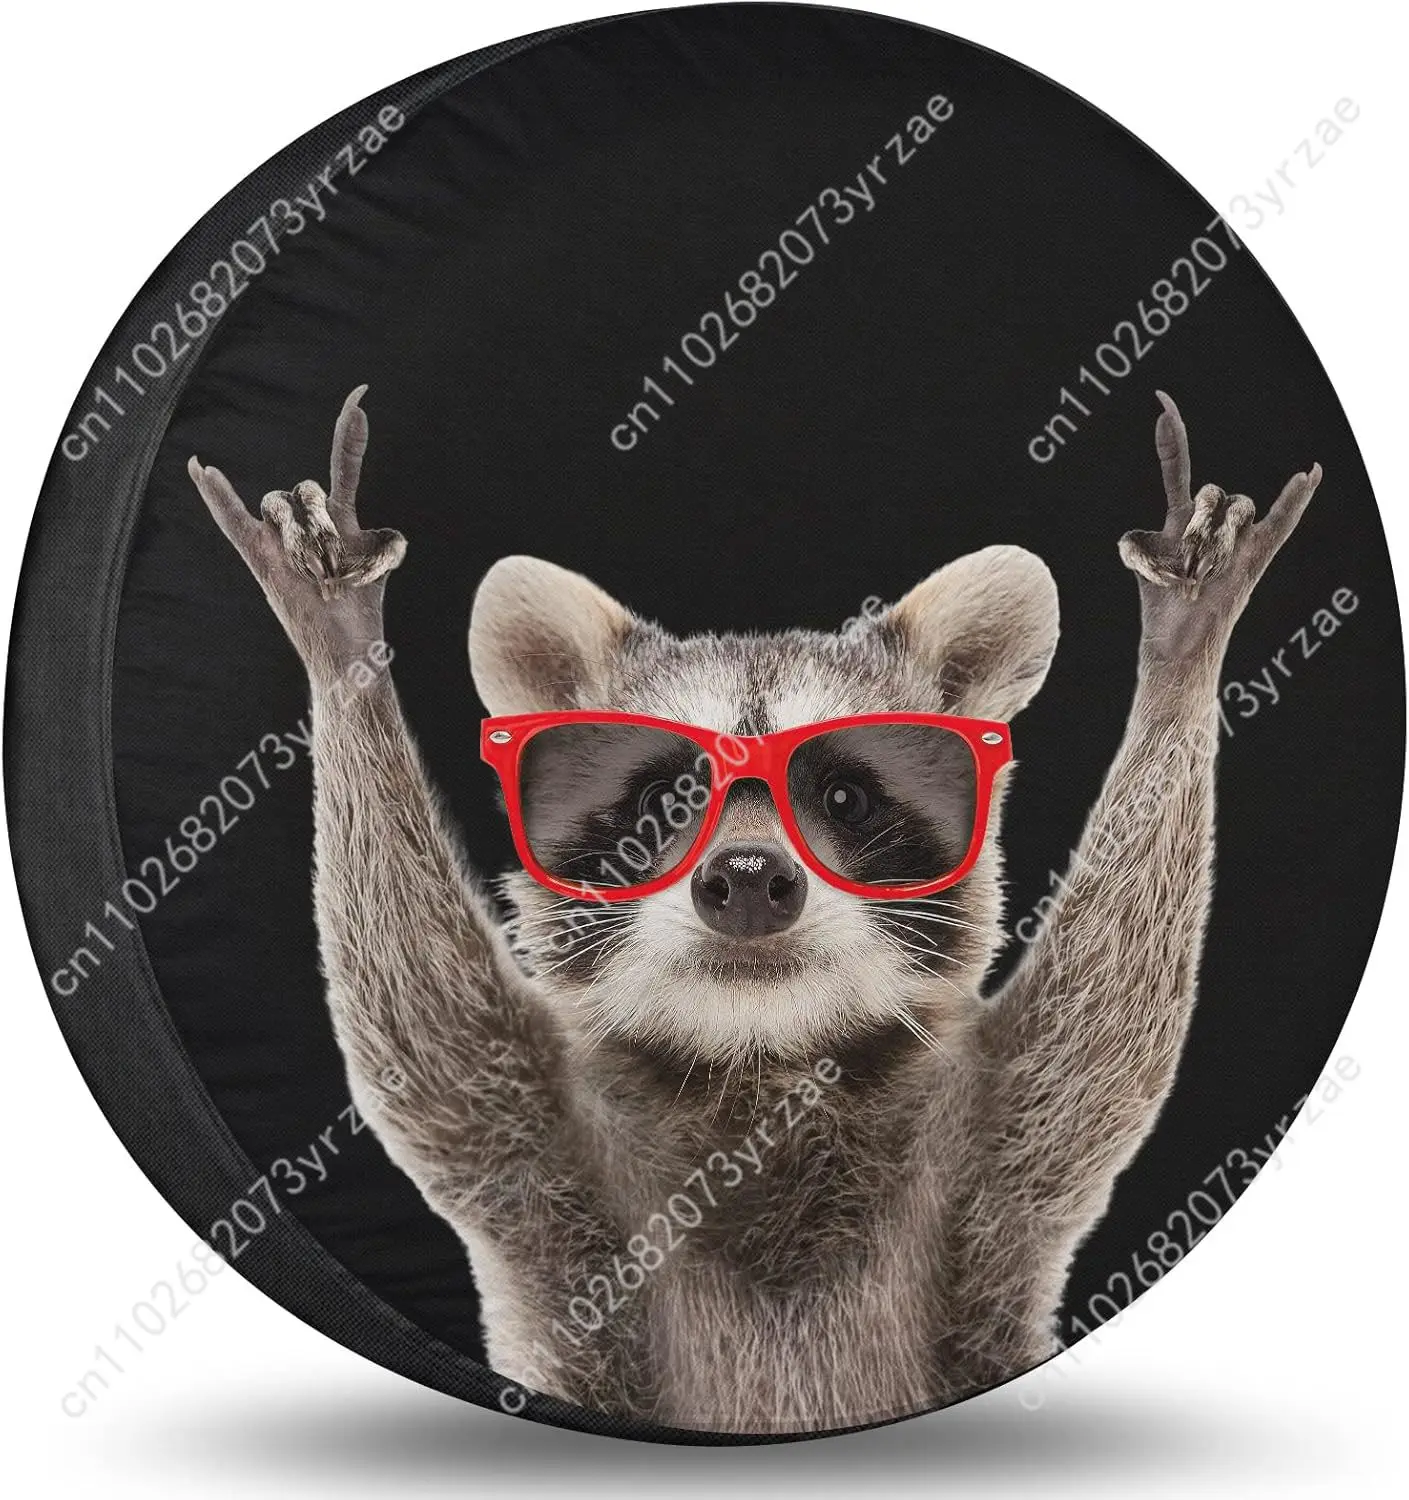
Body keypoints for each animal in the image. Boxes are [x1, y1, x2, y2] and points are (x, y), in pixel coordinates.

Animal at [189, 388, 1319, 1433]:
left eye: (844, 798)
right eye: (667, 800)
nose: (743, 879)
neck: (757, 1063)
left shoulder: (995, 1157)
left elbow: (1107, 1027)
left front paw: (1179, 661)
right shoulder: (533, 1156)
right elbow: (420, 1023)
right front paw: (343, 655)